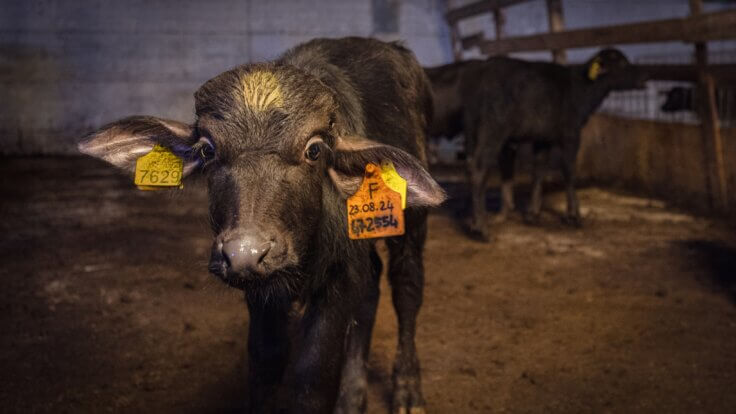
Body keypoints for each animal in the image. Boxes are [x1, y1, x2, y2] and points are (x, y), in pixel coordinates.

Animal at [78, 37, 445, 414]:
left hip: (411, 224)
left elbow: (313, 376)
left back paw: (407, 392)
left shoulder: (337, 279)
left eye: (314, 150)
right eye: (208, 150)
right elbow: (265, 364)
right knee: (372, 281)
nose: (245, 253)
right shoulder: (262, 293)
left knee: (407, 287)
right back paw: (352, 395)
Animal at [426, 49, 645, 241]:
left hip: (473, 130)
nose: (643, 77)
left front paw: (532, 213)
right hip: (493, 131)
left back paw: (475, 222)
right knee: (478, 169)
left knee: (471, 167)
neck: (580, 89)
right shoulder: (571, 134)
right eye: (622, 63)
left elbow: (538, 171)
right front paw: (574, 216)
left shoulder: (542, 139)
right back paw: (482, 230)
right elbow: (568, 171)